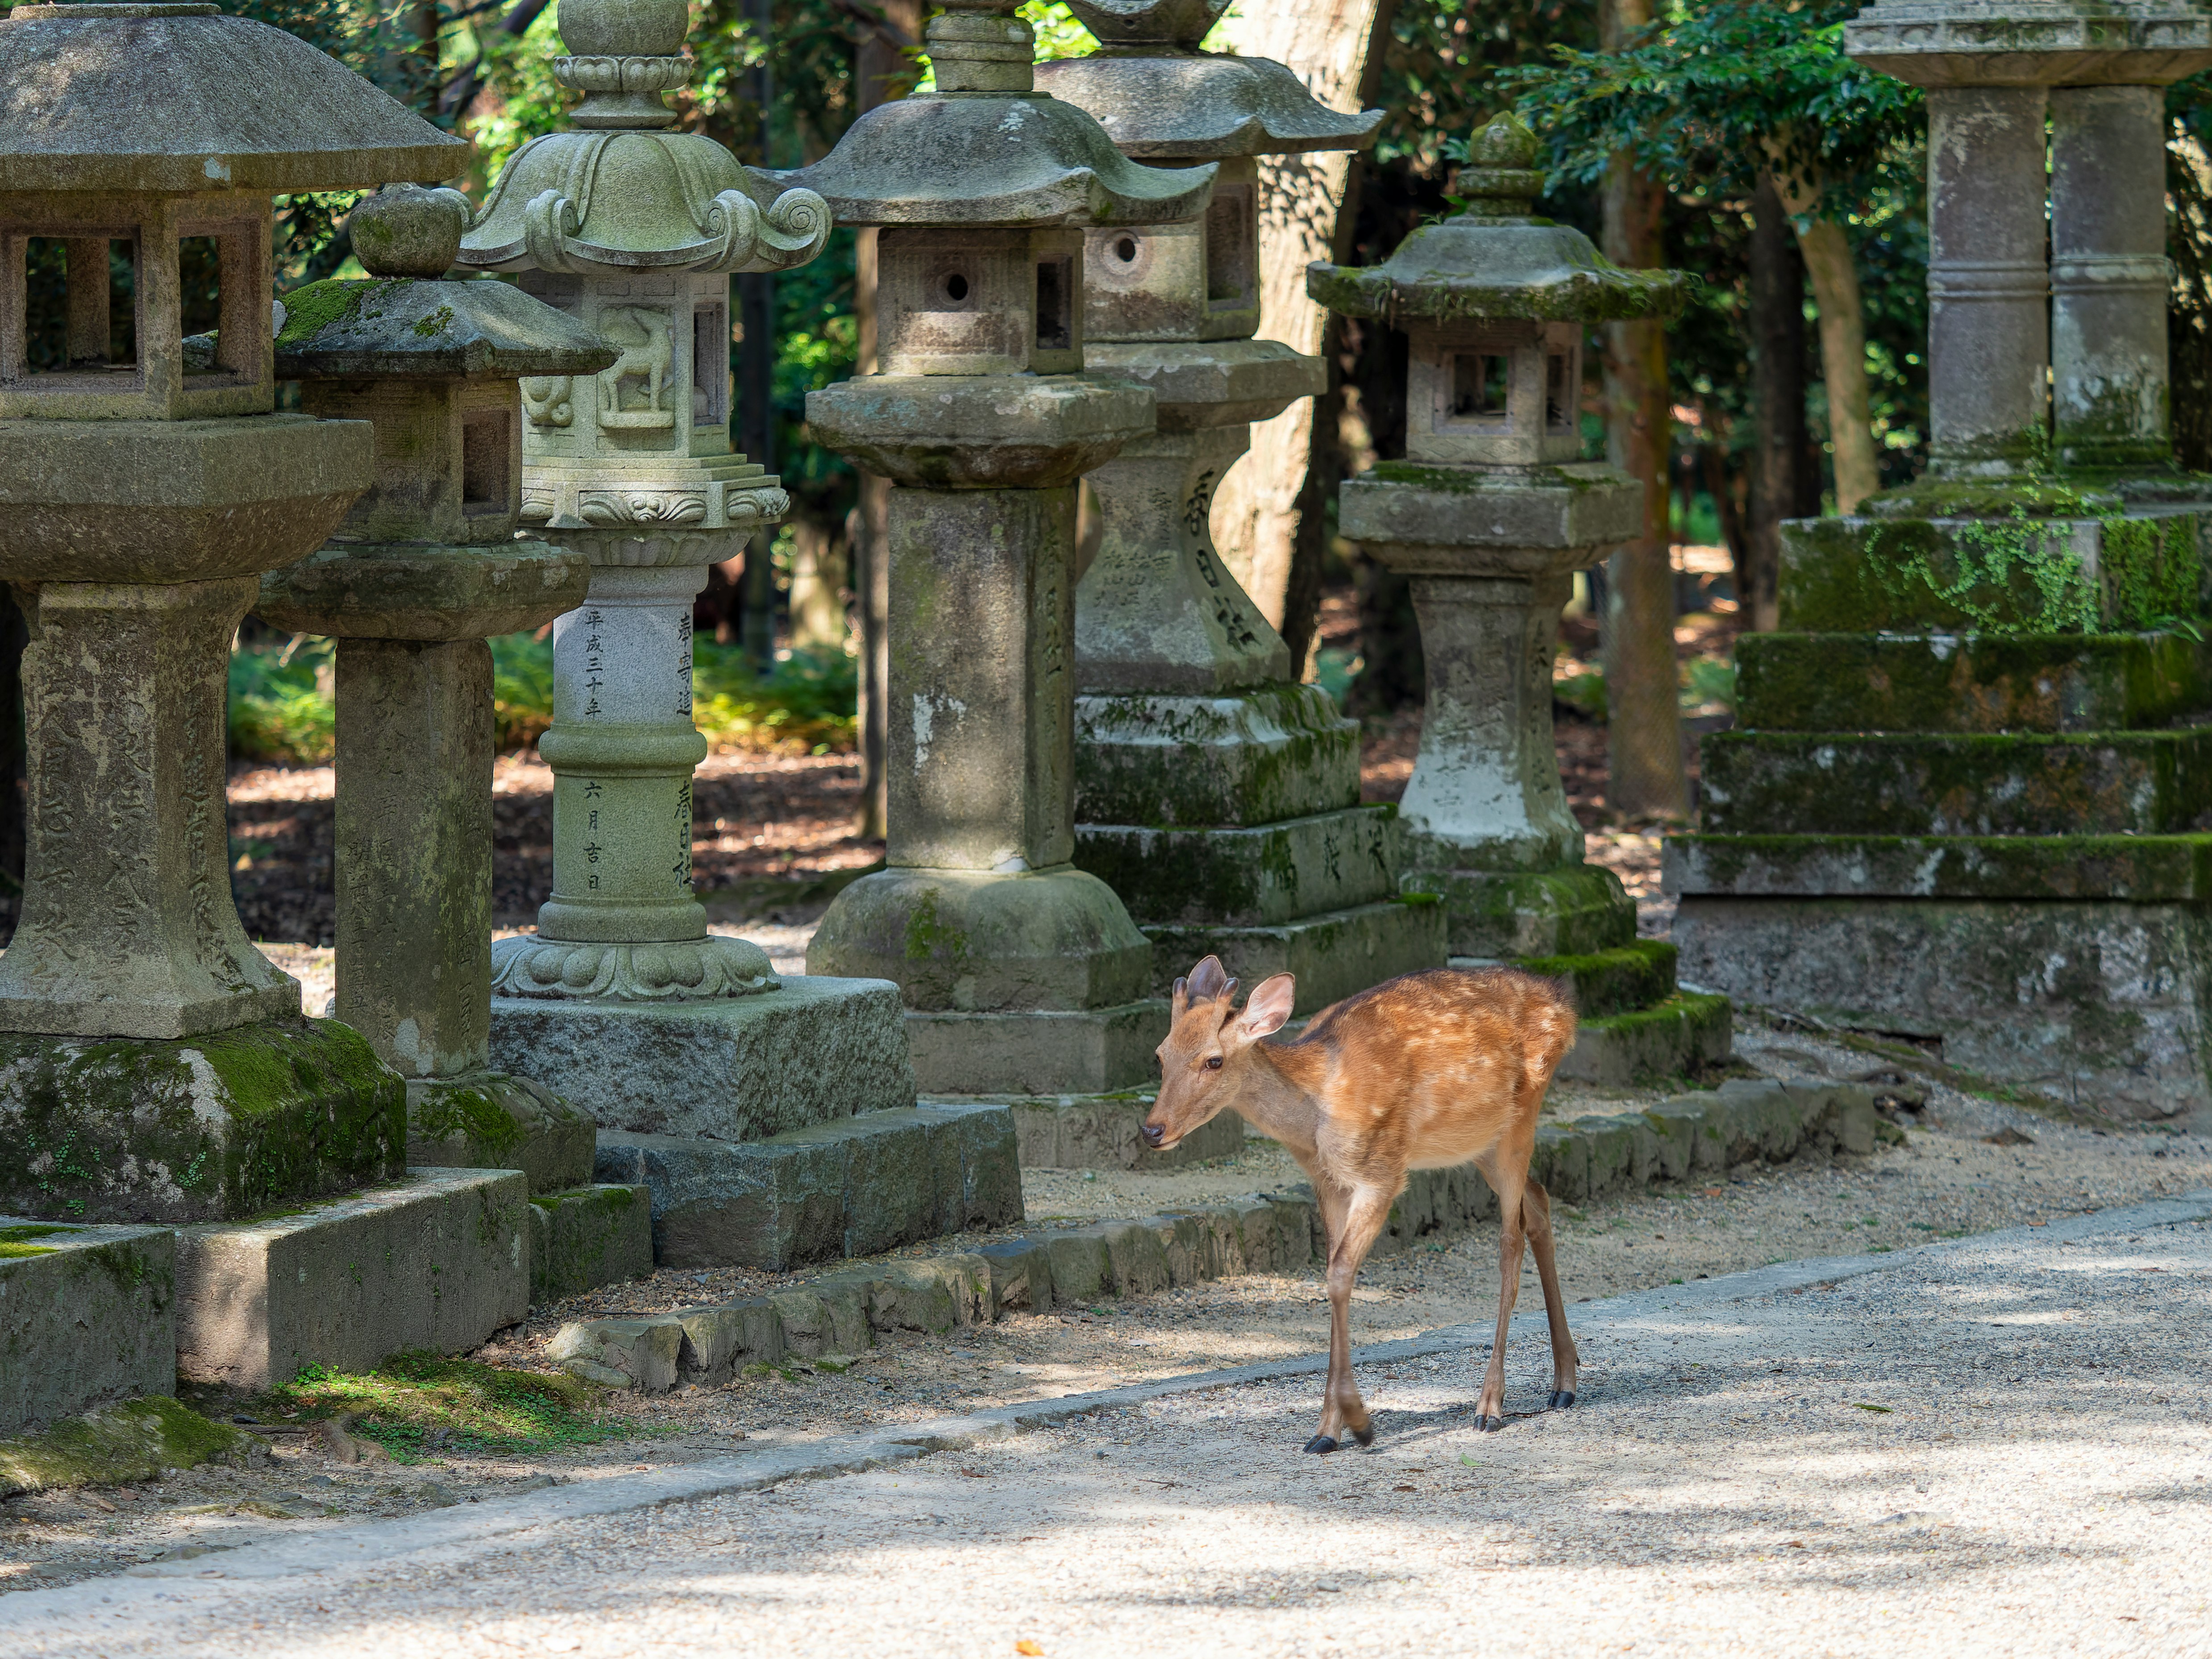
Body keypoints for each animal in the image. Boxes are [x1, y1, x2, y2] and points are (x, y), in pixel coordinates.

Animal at [1142, 956, 1580, 1453]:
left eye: (1214, 1060)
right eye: (1160, 1054)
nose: (1153, 1130)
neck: (1314, 1116)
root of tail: (1564, 1006)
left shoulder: (1381, 1172)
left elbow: (1338, 1277)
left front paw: (1359, 1422)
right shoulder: (1327, 1182)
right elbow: (1335, 1273)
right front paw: (1326, 1432)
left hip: (1519, 1121)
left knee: (1510, 1240)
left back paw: (1490, 1405)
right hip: (1480, 1142)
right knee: (1539, 1202)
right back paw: (1565, 1383)